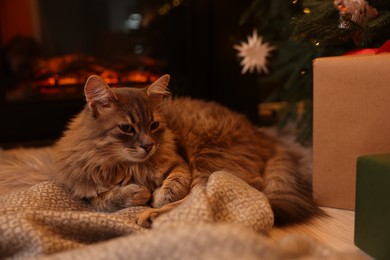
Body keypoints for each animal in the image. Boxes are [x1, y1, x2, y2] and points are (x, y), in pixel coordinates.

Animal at [0, 74, 320, 226]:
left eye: (153, 125)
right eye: (127, 128)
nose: (148, 145)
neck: (126, 165)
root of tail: (263, 134)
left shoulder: (181, 164)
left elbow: (173, 186)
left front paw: (154, 196)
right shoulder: (87, 192)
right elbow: (110, 198)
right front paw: (136, 192)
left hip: (207, 154)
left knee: (208, 195)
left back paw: (152, 216)